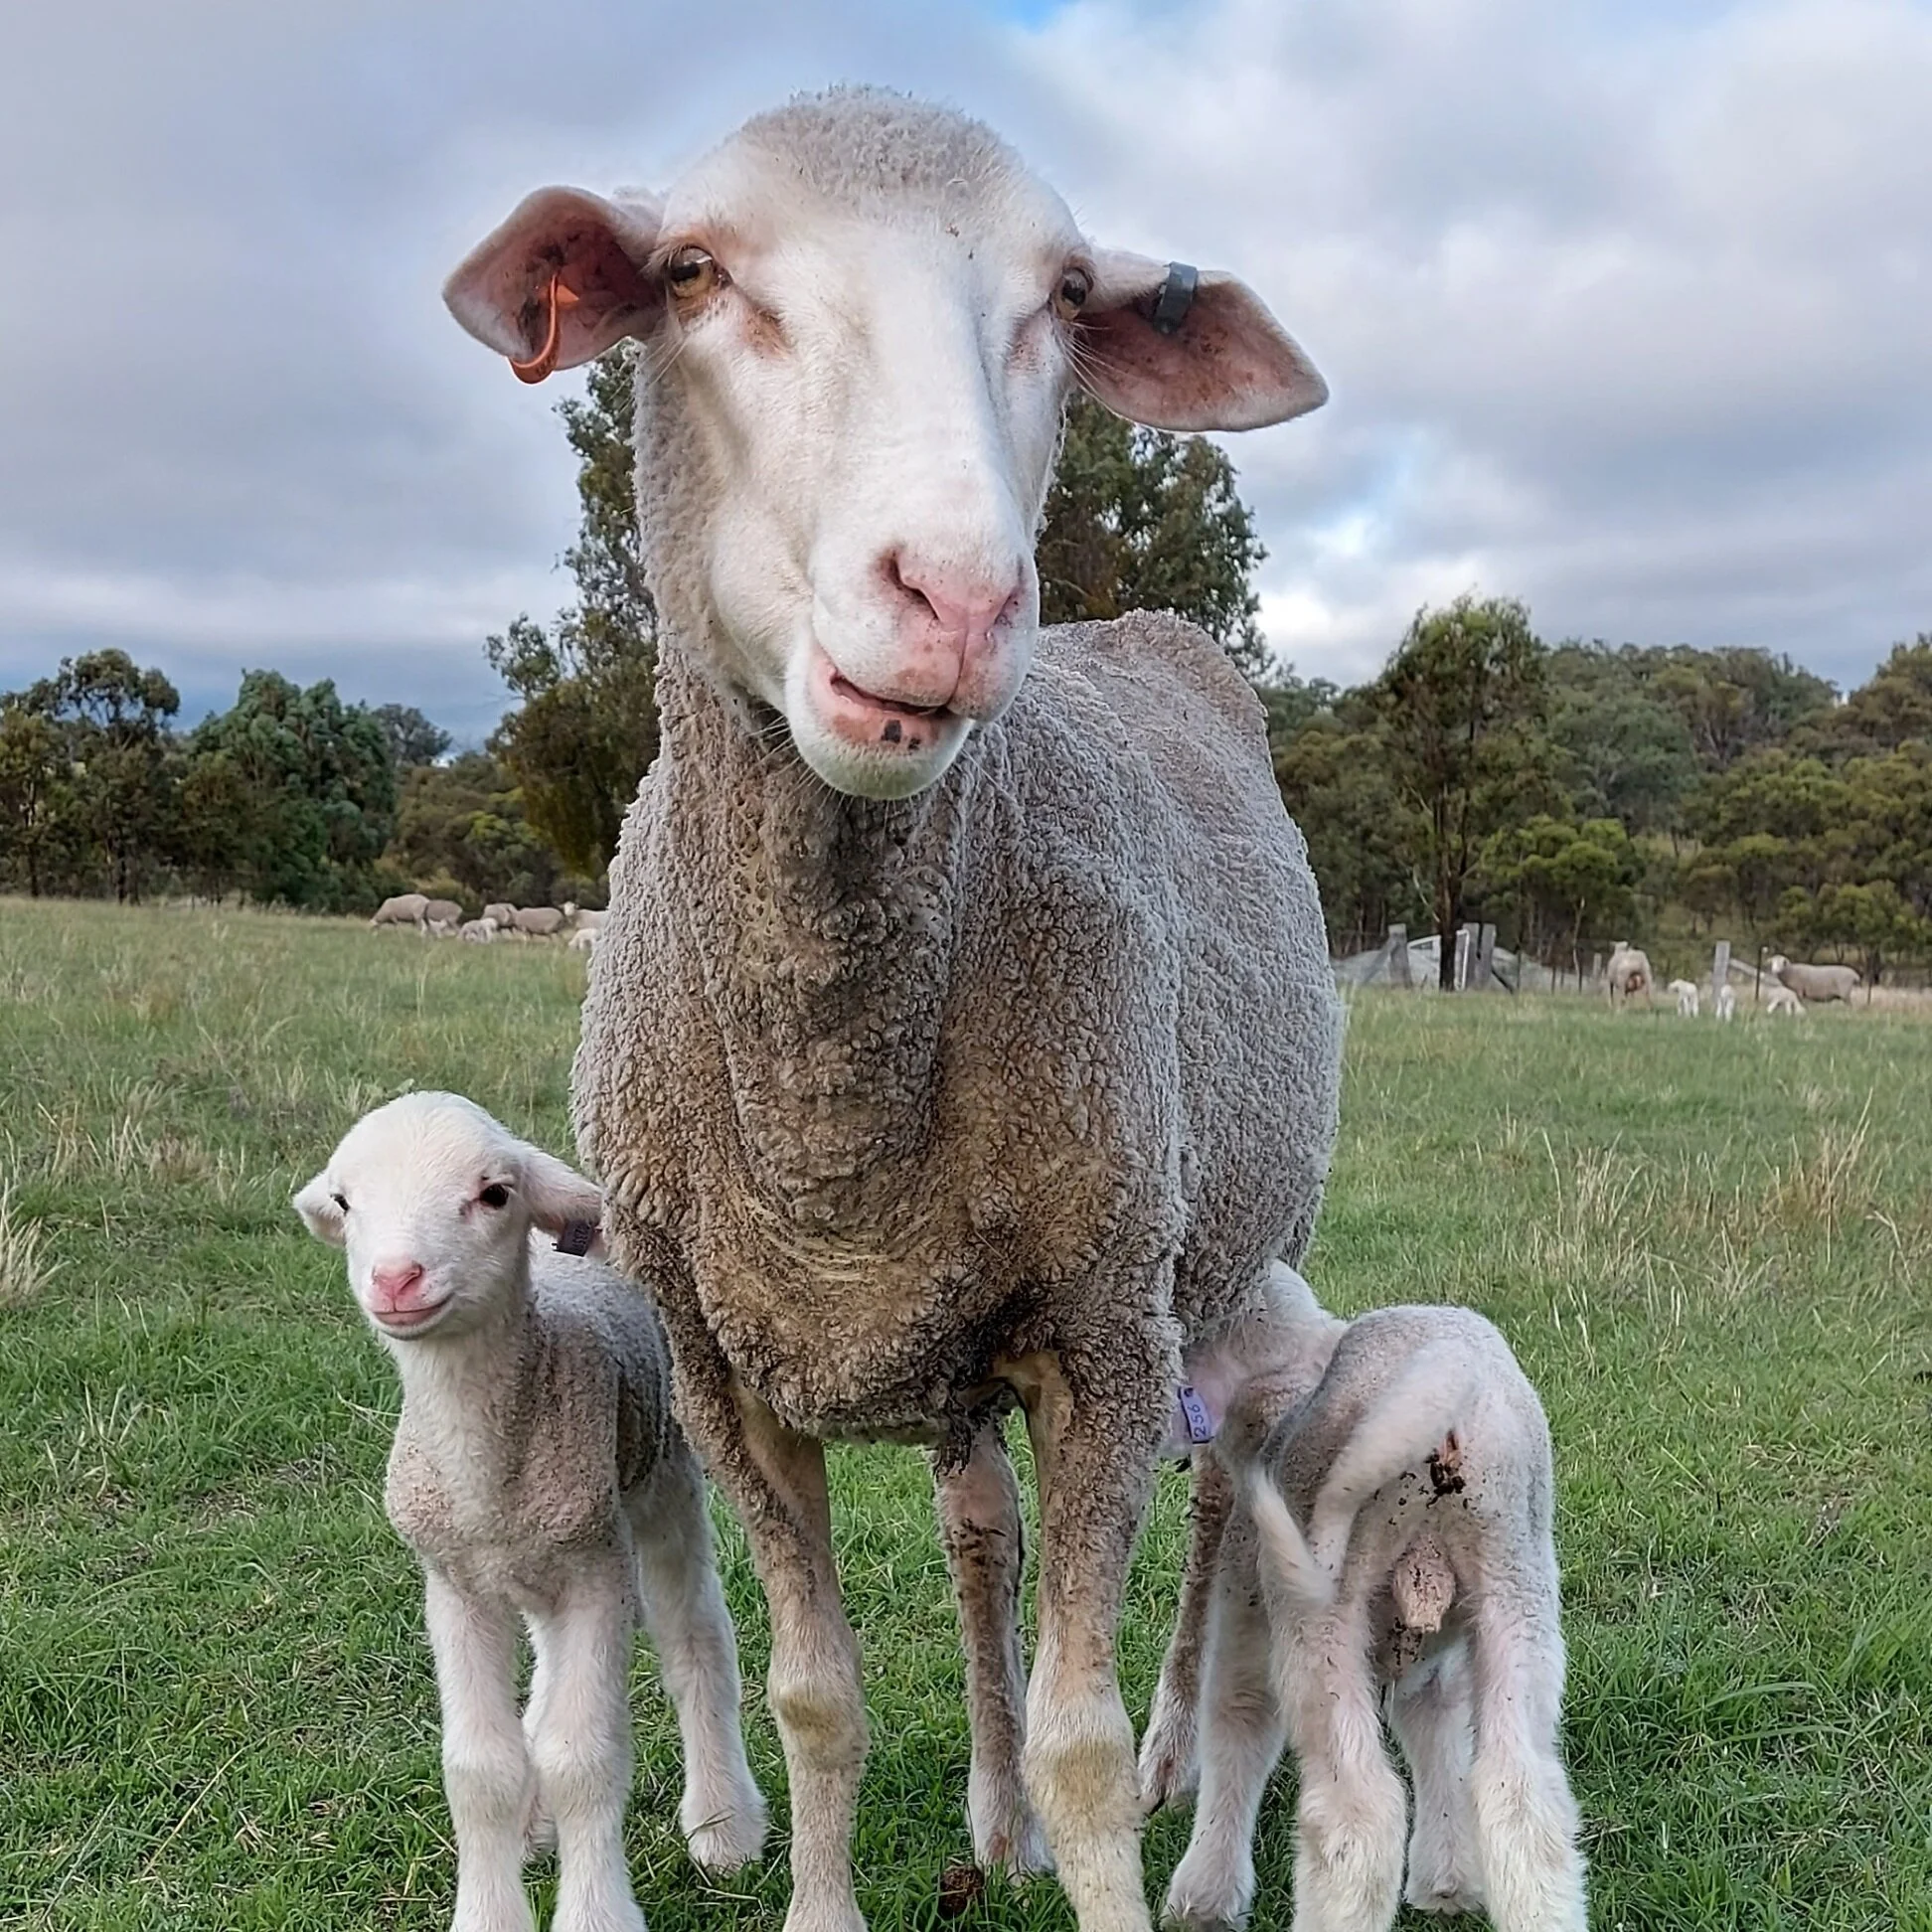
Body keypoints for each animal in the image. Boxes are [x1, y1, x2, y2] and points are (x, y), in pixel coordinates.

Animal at [293, 1093, 766, 1932]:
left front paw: (596, 1911)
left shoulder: (596, 1568)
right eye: (345, 1202)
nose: (396, 1278)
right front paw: (491, 1905)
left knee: (696, 1639)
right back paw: (536, 1822)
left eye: (494, 1194)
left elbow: (584, 1760)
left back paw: (725, 1825)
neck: (488, 1483)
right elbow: (479, 1770)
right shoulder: (455, 1582)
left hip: (661, 1474)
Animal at [448, 88, 1337, 1932]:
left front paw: (1097, 1810)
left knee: (1217, 1513)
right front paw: (831, 1886)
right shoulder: (724, 1362)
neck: (832, 1121)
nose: (956, 595)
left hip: (1210, 1261)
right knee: (976, 1528)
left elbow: (1079, 1730)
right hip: (954, 1334)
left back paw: (1167, 1759)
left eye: (1065, 295)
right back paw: (990, 1821)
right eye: (691, 270)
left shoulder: (1101, 1326)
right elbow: (815, 1696)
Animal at [1163, 1264, 1585, 1932]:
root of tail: (1446, 1374)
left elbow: (1237, 1723)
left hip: (1323, 1611)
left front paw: (1203, 1897)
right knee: (1523, 1798)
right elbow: (1437, 1737)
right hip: (1515, 1588)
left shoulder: (1245, 1614)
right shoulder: (1434, 1668)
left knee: (1358, 1811)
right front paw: (1447, 1884)